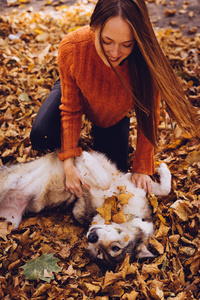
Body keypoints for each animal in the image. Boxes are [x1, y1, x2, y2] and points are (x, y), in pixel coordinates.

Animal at [0, 151, 172, 268]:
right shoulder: (126, 180)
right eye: (116, 248)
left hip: (11, 222)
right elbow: (164, 189)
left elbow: (105, 181)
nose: (91, 237)